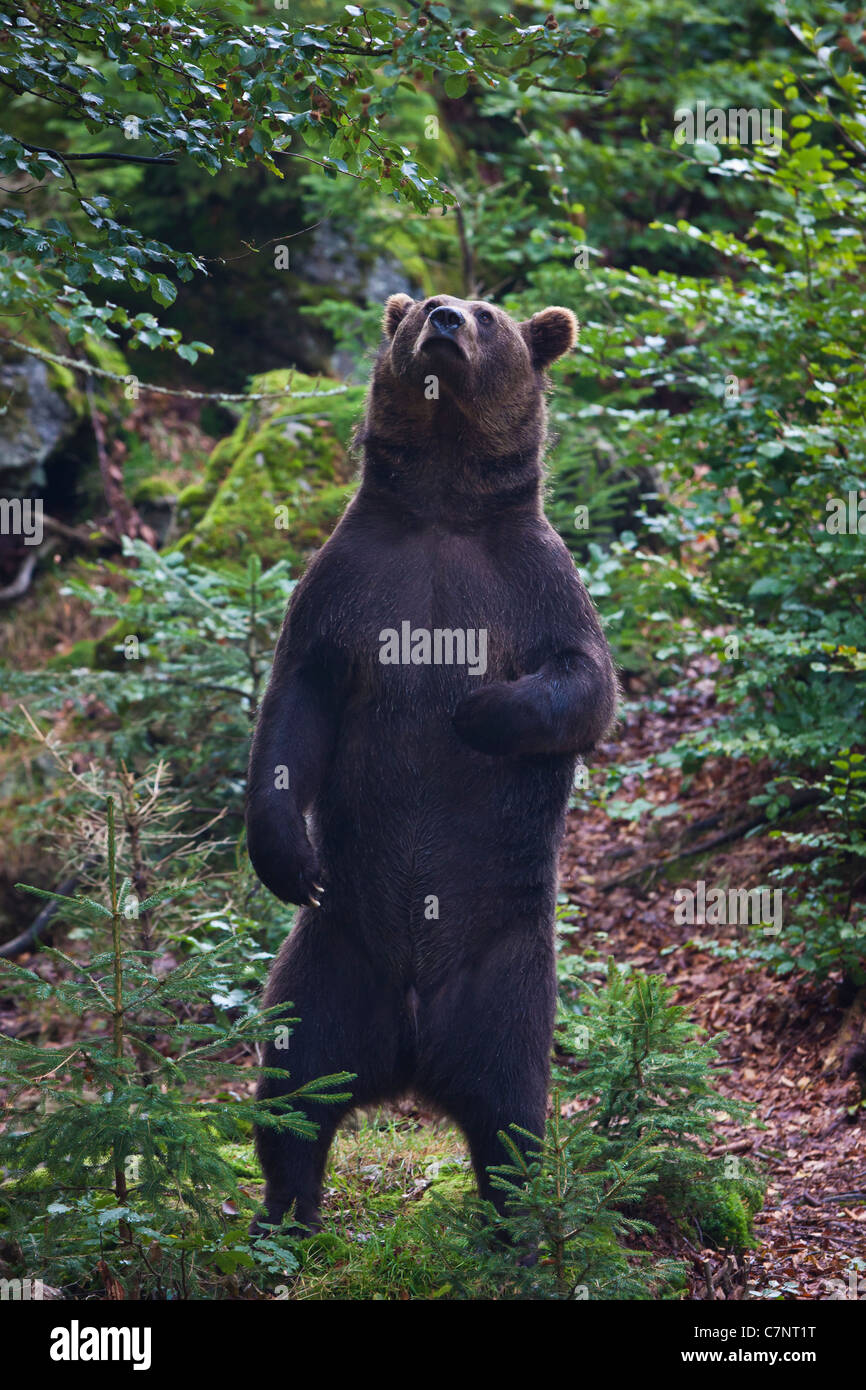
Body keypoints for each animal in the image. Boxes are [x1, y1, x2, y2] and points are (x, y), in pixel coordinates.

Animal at [247, 290, 619, 1228]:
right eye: (420, 306)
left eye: (489, 314)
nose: (444, 319)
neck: (444, 510)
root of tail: (410, 1054)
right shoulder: (348, 585)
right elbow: (294, 709)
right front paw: (284, 853)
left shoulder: (533, 582)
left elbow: (583, 681)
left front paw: (476, 711)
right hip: (331, 955)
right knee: (293, 1085)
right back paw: (286, 1213)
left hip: (508, 979)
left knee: (512, 1115)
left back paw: (513, 1225)